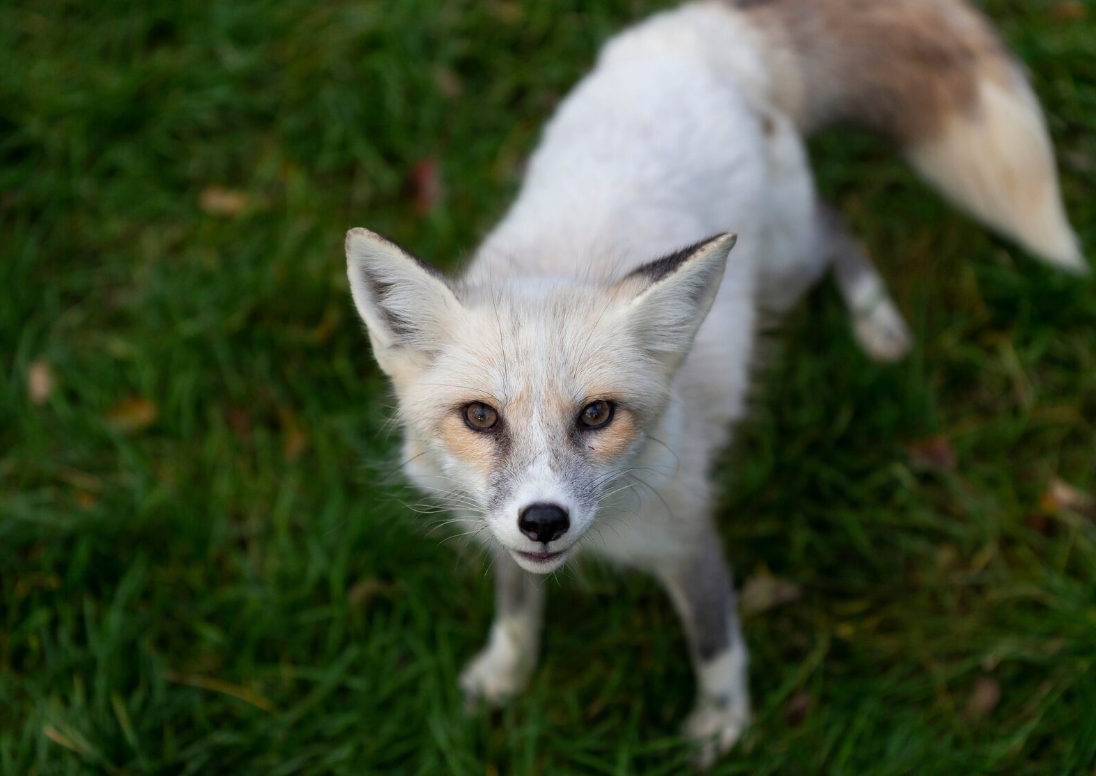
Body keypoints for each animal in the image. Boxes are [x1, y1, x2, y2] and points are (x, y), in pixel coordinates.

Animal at [346, 0, 1082, 762]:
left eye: (597, 415)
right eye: (481, 417)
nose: (544, 521)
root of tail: (702, 35)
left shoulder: (691, 536)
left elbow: (716, 644)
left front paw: (724, 725)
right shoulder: (502, 536)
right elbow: (517, 610)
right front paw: (504, 674)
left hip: (786, 266)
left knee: (834, 227)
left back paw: (876, 319)